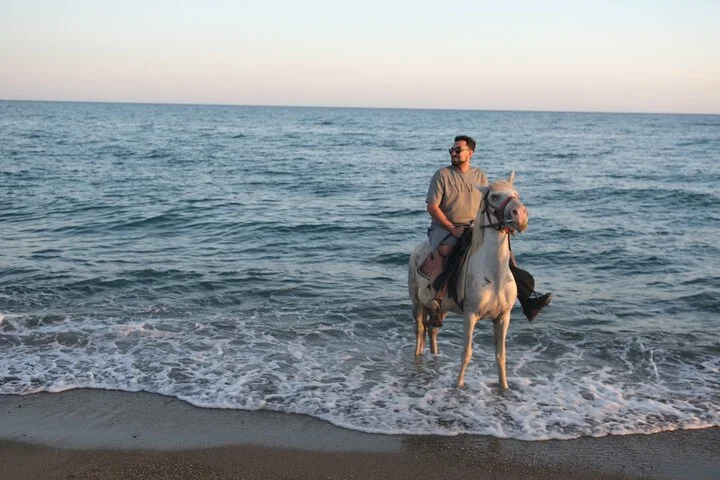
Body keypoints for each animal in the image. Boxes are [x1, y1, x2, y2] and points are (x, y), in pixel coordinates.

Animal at [408, 171, 528, 389]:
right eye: (494, 196)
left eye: (517, 194)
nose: (521, 215)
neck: (493, 275)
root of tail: (416, 251)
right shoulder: (470, 315)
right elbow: (466, 353)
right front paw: (458, 386)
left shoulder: (503, 317)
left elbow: (501, 356)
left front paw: (504, 388)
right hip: (417, 302)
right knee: (420, 330)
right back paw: (418, 358)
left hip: (442, 308)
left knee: (432, 330)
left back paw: (435, 356)